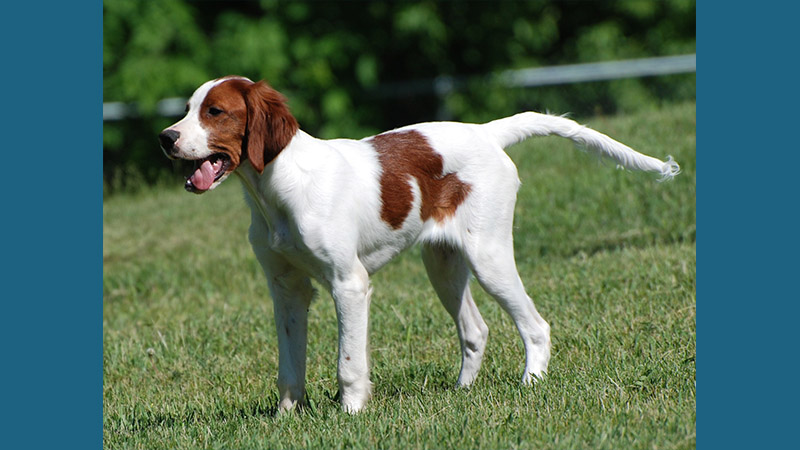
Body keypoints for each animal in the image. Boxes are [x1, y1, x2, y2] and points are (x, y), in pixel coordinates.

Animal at [159, 75, 680, 414]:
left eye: (215, 112)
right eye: (186, 110)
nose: (165, 138)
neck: (277, 189)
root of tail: (486, 132)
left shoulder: (349, 283)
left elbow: (348, 361)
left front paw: (351, 413)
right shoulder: (286, 288)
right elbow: (290, 365)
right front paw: (287, 419)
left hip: (489, 255)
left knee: (535, 325)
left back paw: (531, 385)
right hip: (444, 264)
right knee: (475, 330)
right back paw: (462, 394)